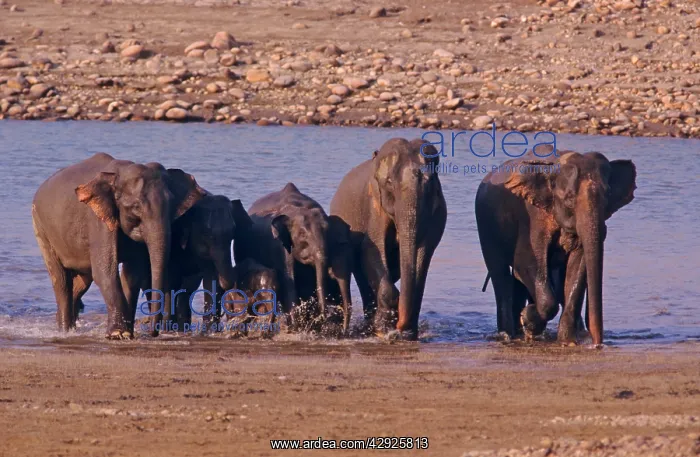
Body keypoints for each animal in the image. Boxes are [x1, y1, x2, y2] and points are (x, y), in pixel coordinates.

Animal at [32, 152, 206, 338]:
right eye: (136, 207)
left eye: (172, 205)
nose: (154, 333)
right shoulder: (97, 221)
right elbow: (105, 271)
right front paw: (118, 334)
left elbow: (133, 274)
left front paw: (128, 333)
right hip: (41, 227)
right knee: (61, 280)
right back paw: (64, 330)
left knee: (82, 282)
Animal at [119, 194, 253, 333]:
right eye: (206, 234)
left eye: (233, 230)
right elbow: (170, 282)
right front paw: (166, 329)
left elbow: (210, 280)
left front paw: (209, 331)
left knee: (186, 290)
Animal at [234, 183, 353, 332]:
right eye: (302, 234)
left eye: (328, 232)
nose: (324, 318)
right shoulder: (279, 247)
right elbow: (289, 283)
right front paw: (297, 328)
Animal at [329, 137, 447, 340]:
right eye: (389, 182)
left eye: (431, 181)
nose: (401, 326)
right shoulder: (373, 206)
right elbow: (371, 250)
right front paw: (383, 329)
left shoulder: (437, 213)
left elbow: (424, 254)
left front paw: (407, 333)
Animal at [475, 150, 637, 346]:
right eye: (569, 199)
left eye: (608, 196)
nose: (597, 344)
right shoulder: (533, 217)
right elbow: (524, 264)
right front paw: (528, 319)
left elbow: (577, 267)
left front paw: (568, 341)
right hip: (486, 225)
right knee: (501, 276)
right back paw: (508, 335)